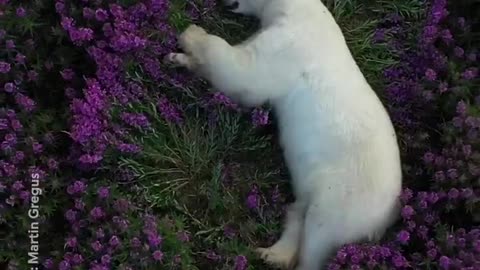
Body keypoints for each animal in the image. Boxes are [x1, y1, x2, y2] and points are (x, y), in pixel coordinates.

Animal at [165, 0, 402, 268]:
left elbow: (244, 73)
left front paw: (191, 35)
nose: (221, 2)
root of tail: (387, 218)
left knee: (318, 237)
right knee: (299, 211)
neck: (298, 10)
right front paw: (176, 58)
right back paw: (271, 254)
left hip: (345, 199)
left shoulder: (289, 45)